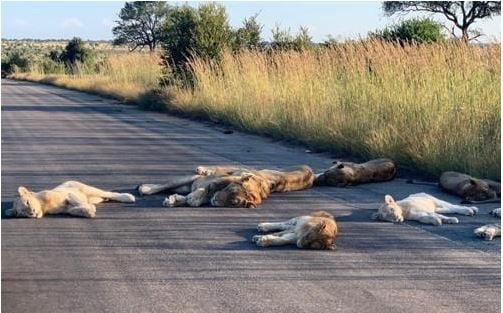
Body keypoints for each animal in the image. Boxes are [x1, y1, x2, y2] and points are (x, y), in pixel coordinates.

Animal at [5, 180, 136, 217]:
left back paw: (128, 197)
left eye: (27, 202)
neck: (43, 206)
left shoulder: (67, 194)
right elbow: (72, 210)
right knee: (103, 197)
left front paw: (89, 209)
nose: (32, 213)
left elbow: (76, 201)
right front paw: (87, 211)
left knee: (109, 193)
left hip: (87, 189)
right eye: (22, 212)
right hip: (94, 197)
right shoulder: (65, 209)